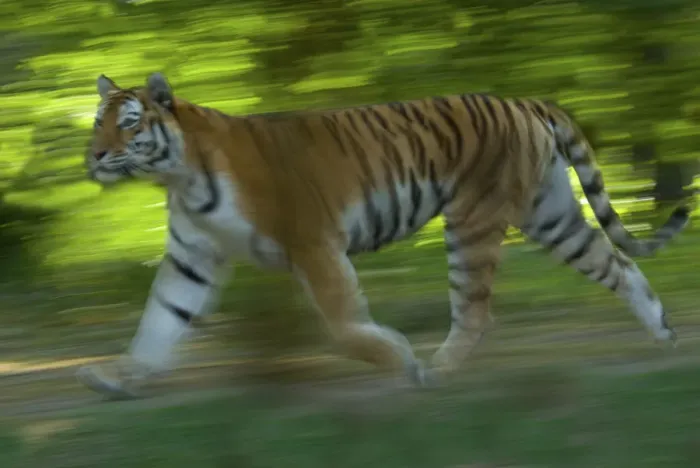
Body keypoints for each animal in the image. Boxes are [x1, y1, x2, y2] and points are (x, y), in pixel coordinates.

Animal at [76, 72, 691, 399]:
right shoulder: (192, 258)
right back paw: (664, 336)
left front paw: (397, 358)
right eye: (97, 122)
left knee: (475, 309)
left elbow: (344, 325)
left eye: (129, 123)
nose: (96, 155)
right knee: (620, 265)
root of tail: (523, 100)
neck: (178, 175)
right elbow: (159, 321)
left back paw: (436, 371)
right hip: (552, 216)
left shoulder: (313, 243)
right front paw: (117, 376)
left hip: (473, 220)